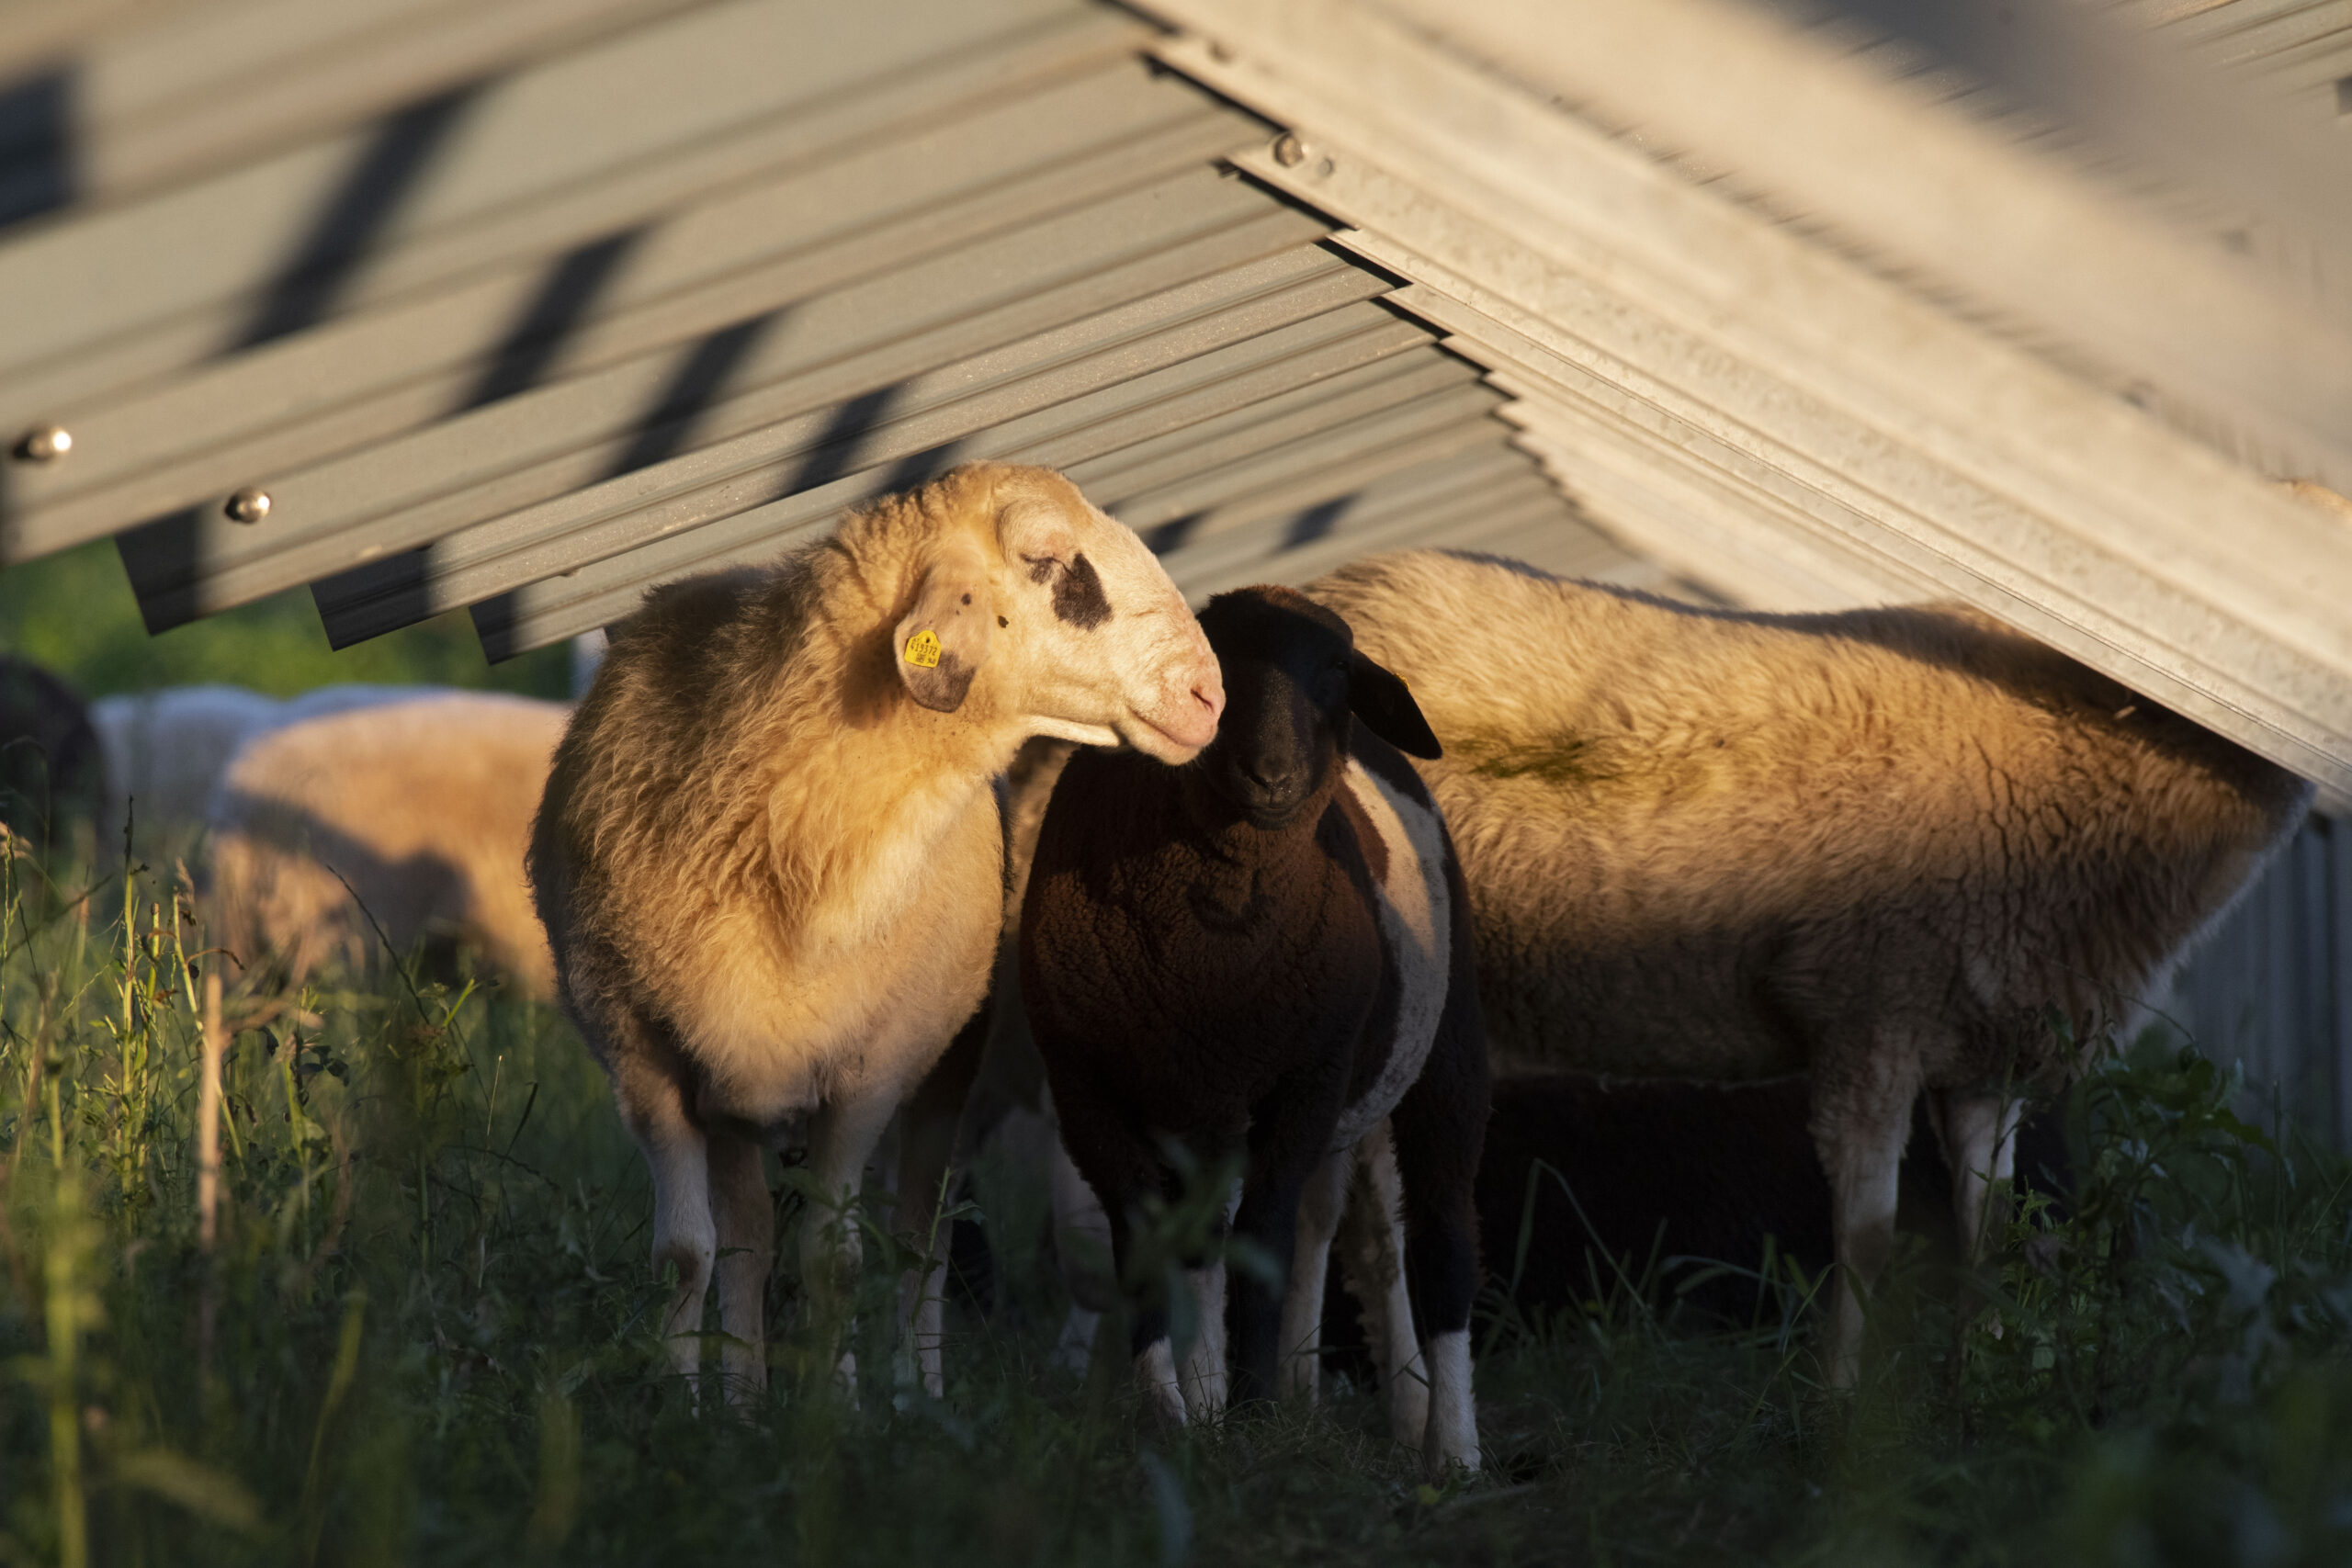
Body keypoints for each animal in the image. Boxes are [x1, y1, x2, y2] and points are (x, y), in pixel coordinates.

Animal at [528, 462, 1224, 1403]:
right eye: (1048, 561)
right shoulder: (643, 1057)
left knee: (920, 1241)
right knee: (750, 1239)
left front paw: (833, 1413)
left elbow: (838, 1259)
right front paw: (685, 1406)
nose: (1208, 693)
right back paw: (745, 1396)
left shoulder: (868, 1073)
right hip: (737, 1082)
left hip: (945, 1075)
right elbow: (688, 1253)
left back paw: (910, 1393)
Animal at [1019, 584, 1489, 1471]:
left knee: (1438, 1239)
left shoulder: (1304, 1079)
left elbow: (1264, 1240)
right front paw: (1174, 1415)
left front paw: (1252, 1407)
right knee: (1293, 1236)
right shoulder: (1087, 1086)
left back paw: (1451, 1445)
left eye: (1336, 669)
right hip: (1228, 1107)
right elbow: (1154, 1240)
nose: (1270, 773)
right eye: (1216, 665)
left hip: (1442, 1057)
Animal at [1306, 549, 2313, 1386]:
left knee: (1357, 1222)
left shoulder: (1983, 1053)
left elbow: (1990, 1232)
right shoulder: (1869, 1008)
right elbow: (1865, 1236)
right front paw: (1844, 1406)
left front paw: (1978, 1386)